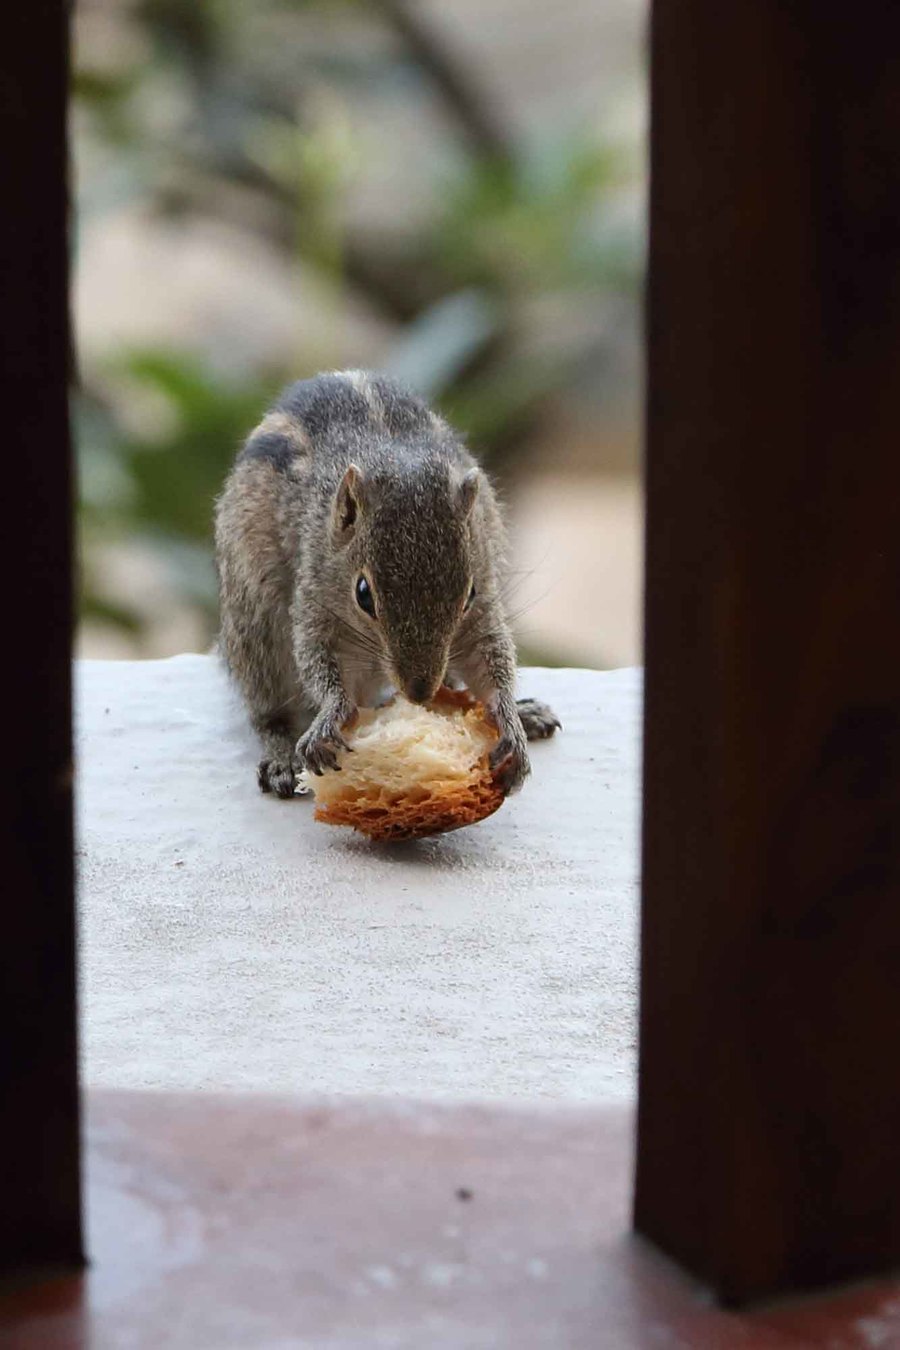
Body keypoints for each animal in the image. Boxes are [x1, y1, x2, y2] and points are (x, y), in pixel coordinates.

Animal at [214, 369, 558, 793]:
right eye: (363, 594)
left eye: (469, 594)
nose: (420, 691)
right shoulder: (315, 600)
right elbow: (318, 662)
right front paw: (329, 716)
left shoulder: (484, 611)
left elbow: (493, 664)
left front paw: (511, 724)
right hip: (255, 634)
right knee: (267, 712)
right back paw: (281, 755)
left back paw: (525, 713)